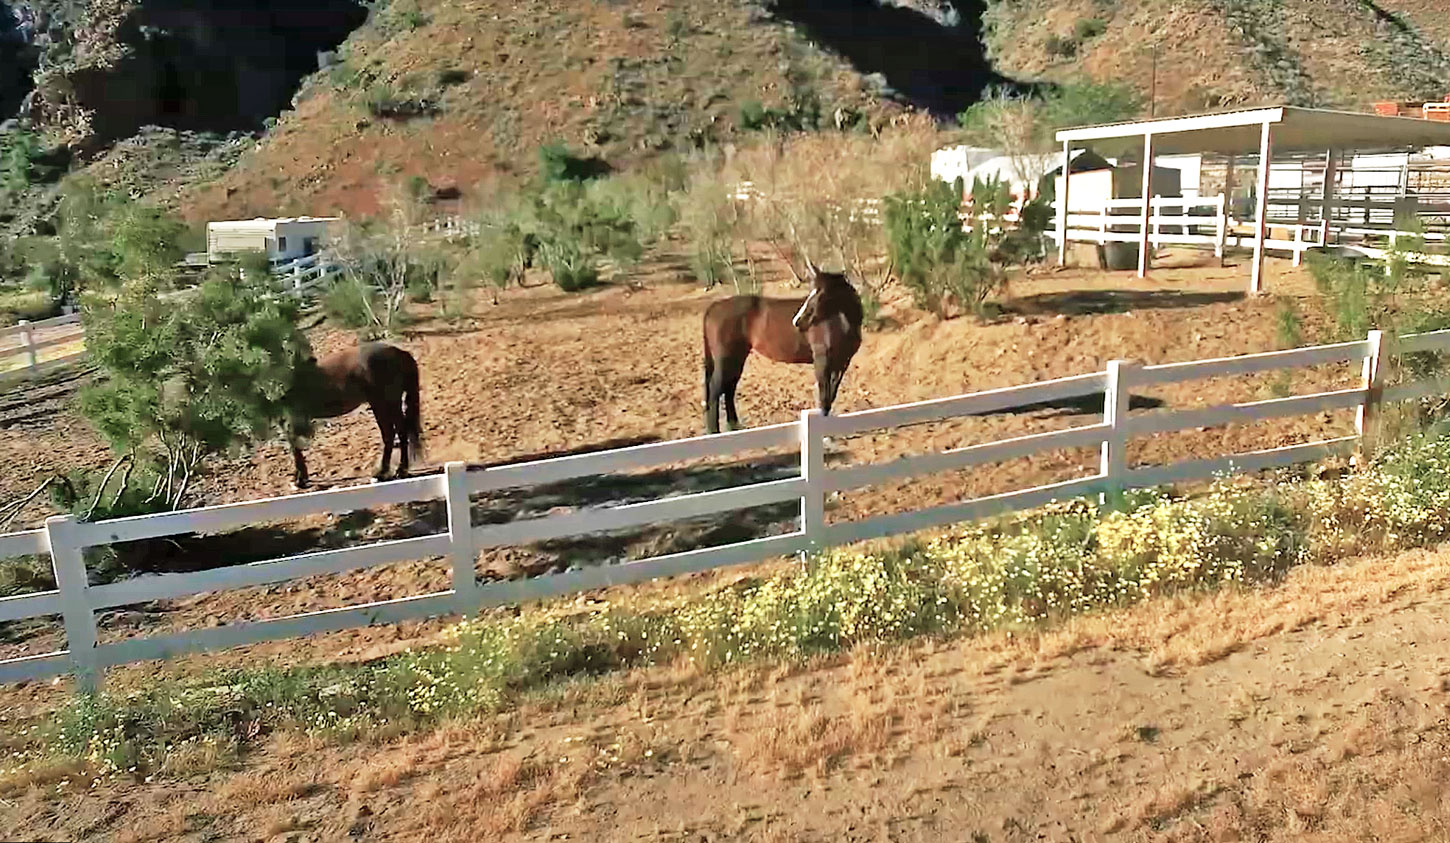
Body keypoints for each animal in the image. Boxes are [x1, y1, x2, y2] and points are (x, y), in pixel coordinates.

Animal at [286, 342, 424, 489]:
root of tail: (400, 352)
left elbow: (294, 443)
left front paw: (300, 479)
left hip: (385, 403)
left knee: (396, 433)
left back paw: (394, 471)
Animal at [701, 263, 864, 435]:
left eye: (822, 294)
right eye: (812, 291)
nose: (798, 321)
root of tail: (714, 307)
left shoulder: (841, 364)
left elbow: (831, 397)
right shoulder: (822, 362)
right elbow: (824, 398)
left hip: (737, 357)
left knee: (729, 388)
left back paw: (734, 427)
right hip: (726, 359)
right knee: (715, 391)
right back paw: (714, 432)